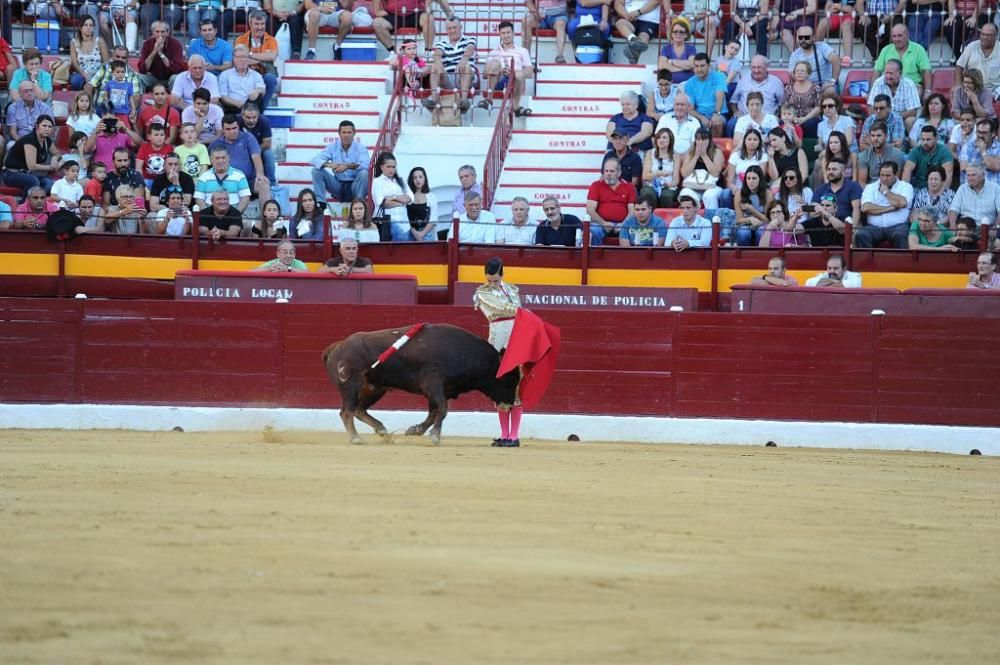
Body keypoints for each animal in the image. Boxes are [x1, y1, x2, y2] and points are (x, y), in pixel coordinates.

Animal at [324, 322, 520, 444]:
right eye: (510, 380)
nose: (509, 404)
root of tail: (338, 346)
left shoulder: (441, 390)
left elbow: (434, 412)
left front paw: (415, 430)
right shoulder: (432, 384)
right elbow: (442, 409)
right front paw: (435, 436)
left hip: (375, 388)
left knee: (358, 409)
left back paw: (382, 431)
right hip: (351, 384)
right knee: (347, 411)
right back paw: (356, 438)